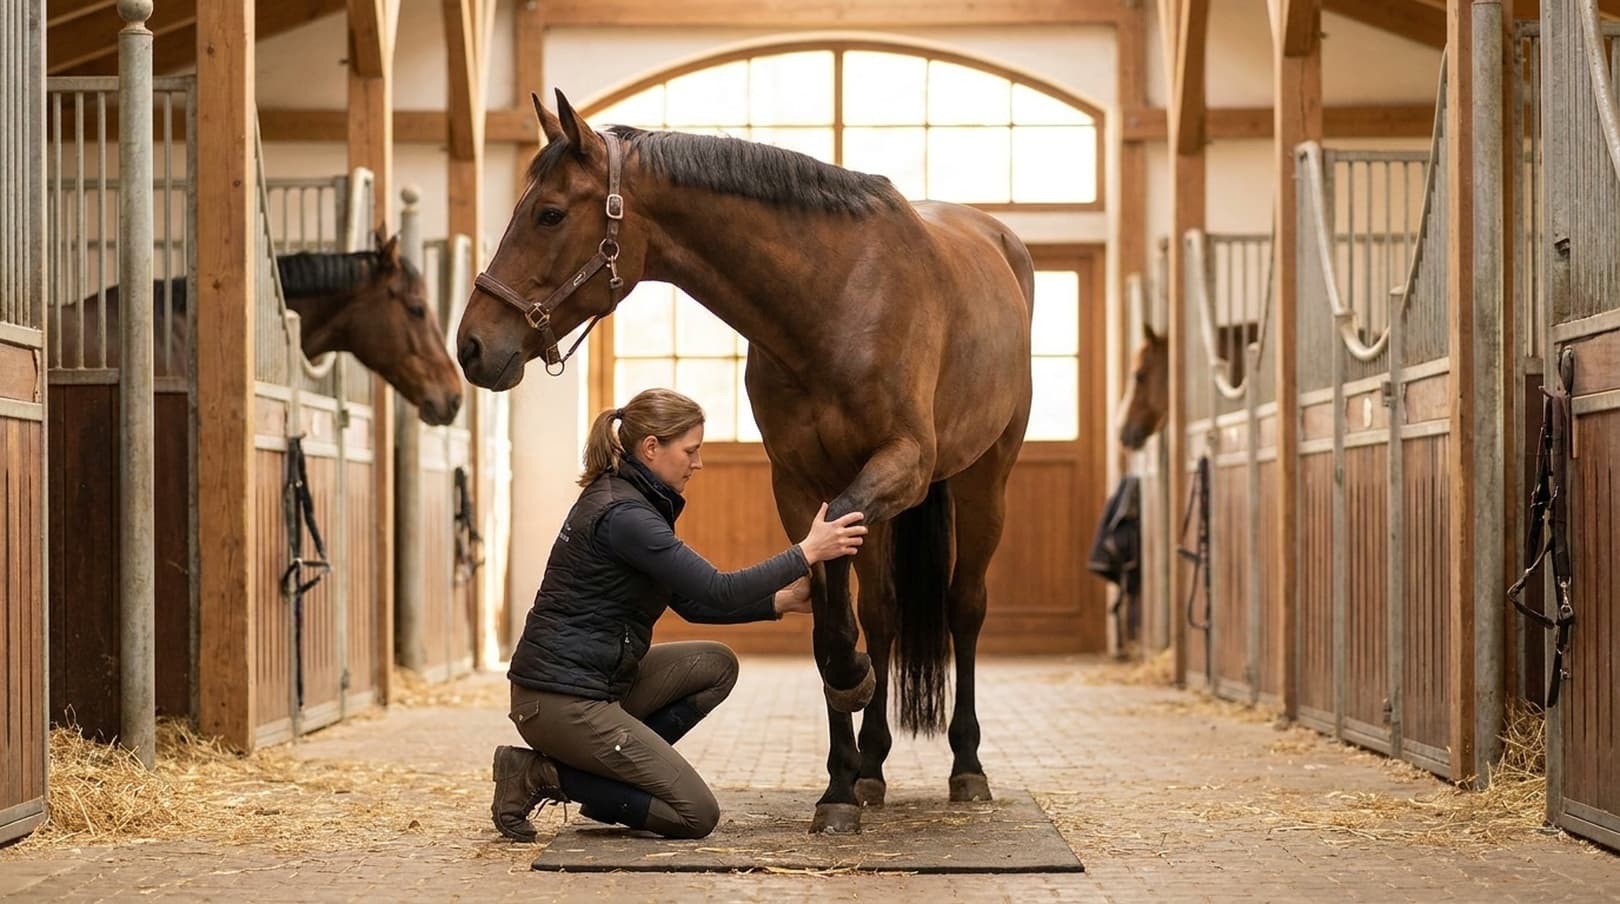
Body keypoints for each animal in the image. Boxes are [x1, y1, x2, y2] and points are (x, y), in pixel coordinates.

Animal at [456, 91, 1035, 834]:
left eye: (549, 213)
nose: (471, 345)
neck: (837, 296)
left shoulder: (899, 463)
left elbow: (850, 611)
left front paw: (852, 711)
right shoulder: (798, 484)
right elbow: (829, 621)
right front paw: (840, 784)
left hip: (983, 479)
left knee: (965, 607)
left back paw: (967, 765)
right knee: (883, 612)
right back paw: (873, 768)